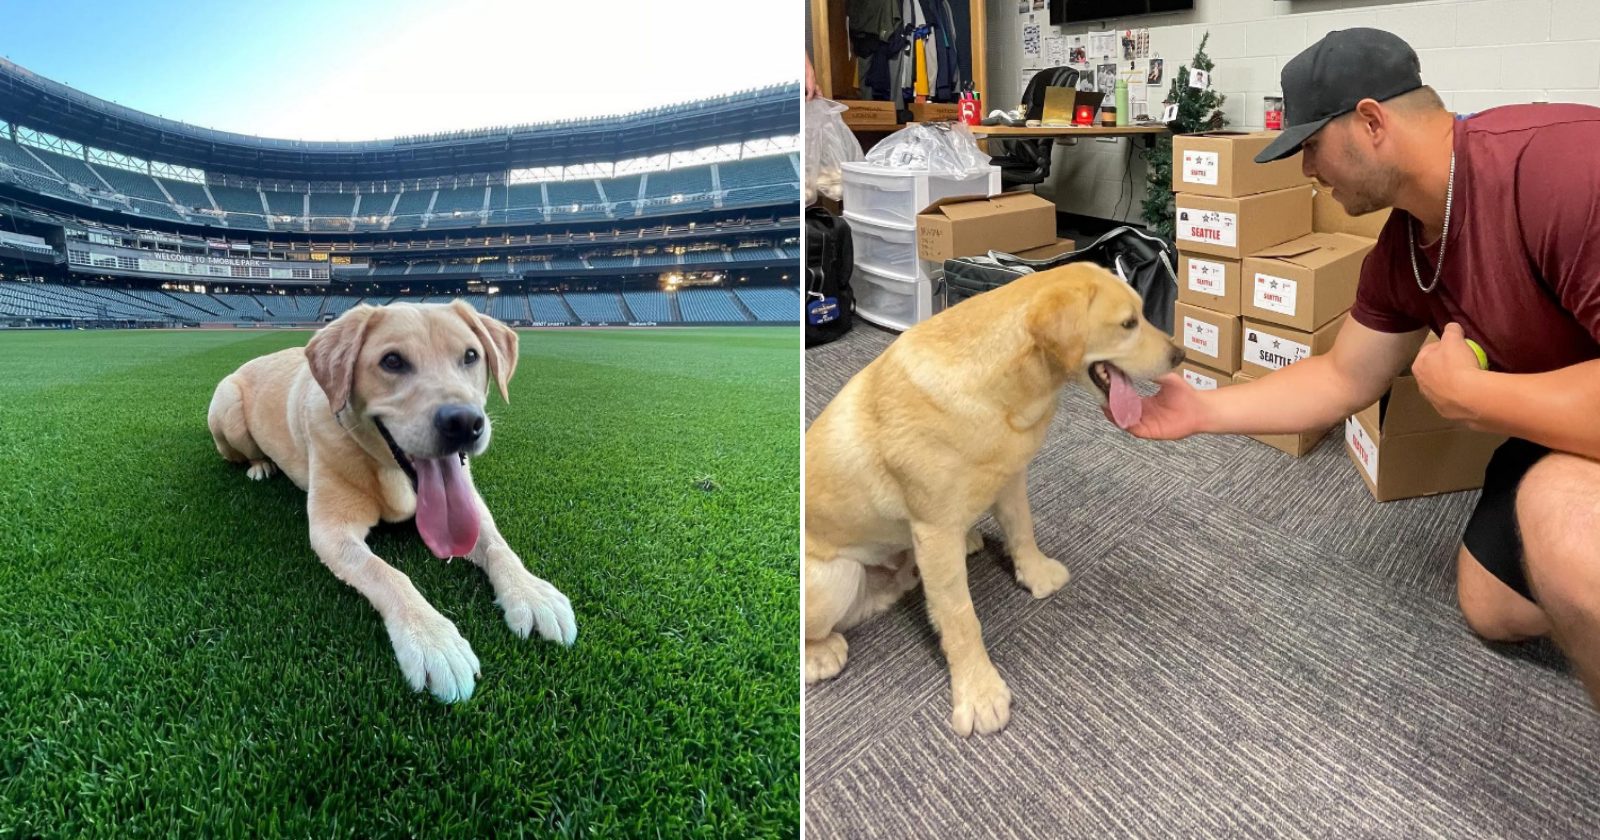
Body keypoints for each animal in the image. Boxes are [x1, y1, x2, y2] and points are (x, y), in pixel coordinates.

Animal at [209, 300, 576, 700]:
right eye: (393, 361)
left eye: (471, 356)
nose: (465, 423)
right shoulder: (330, 530)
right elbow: (386, 573)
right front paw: (432, 639)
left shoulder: (471, 503)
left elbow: (496, 544)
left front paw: (531, 592)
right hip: (226, 409)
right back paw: (260, 465)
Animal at [806, 262, 1184, 732]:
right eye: (1129, 324)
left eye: (1142, 314)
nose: (1180, 356)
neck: (1005, 389)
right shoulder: (934, 531)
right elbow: (960, 618)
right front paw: (978, 690)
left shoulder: (1011, 477)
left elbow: (1023, 532)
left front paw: (1036, 574)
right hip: (835, 576)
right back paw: (822, 653)